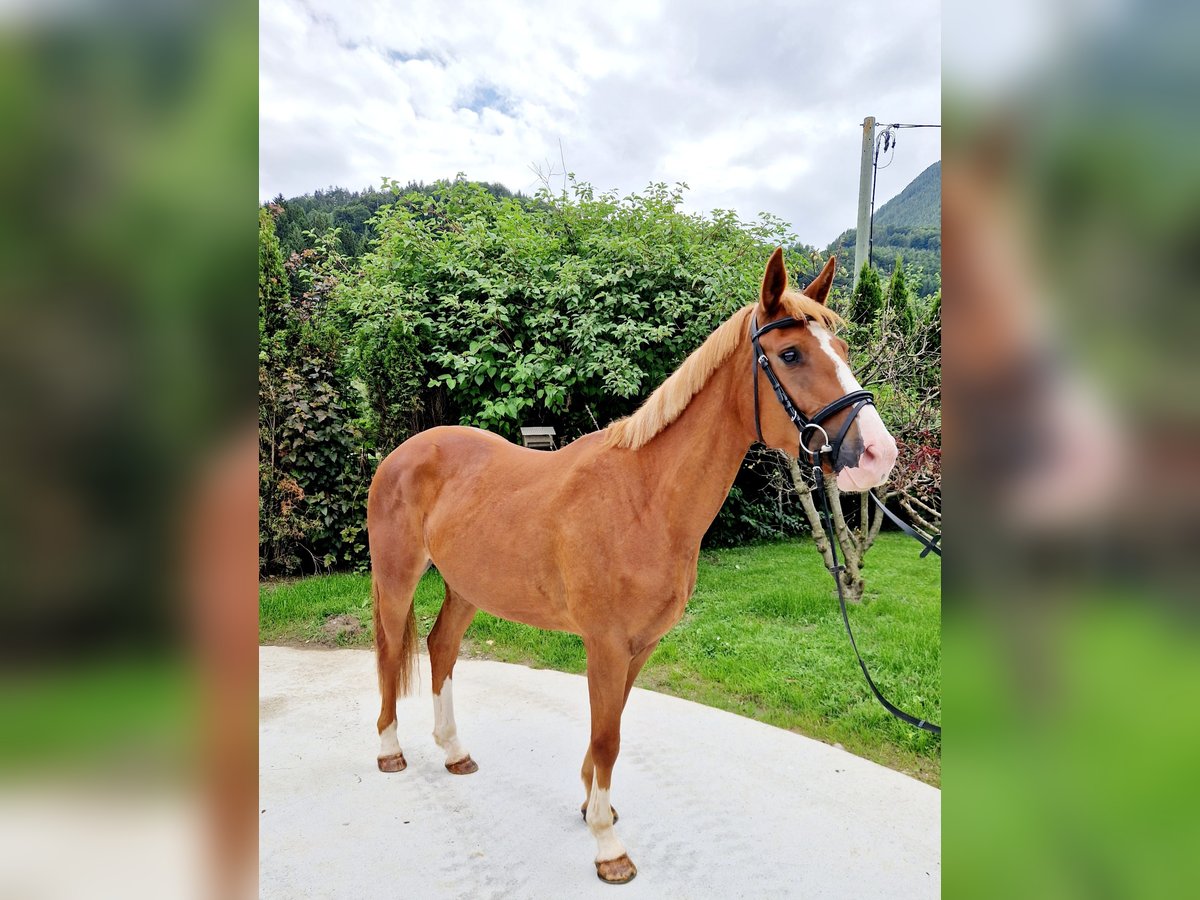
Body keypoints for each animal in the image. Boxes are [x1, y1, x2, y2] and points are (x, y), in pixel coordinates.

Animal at [369, 250, 897, 883]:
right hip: (397, 577)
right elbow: (607, 737)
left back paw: (454, 752)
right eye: (791, 354)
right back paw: (390, 751)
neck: (644, 499)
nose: (878, 453)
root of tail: (405, 453)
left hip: (468, 587)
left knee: (441, 646)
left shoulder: (639, 645)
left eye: (840, 348)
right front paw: (607, 846)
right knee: (390, 650)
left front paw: (593, 806)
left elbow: (611, 729)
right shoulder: (605, 643)